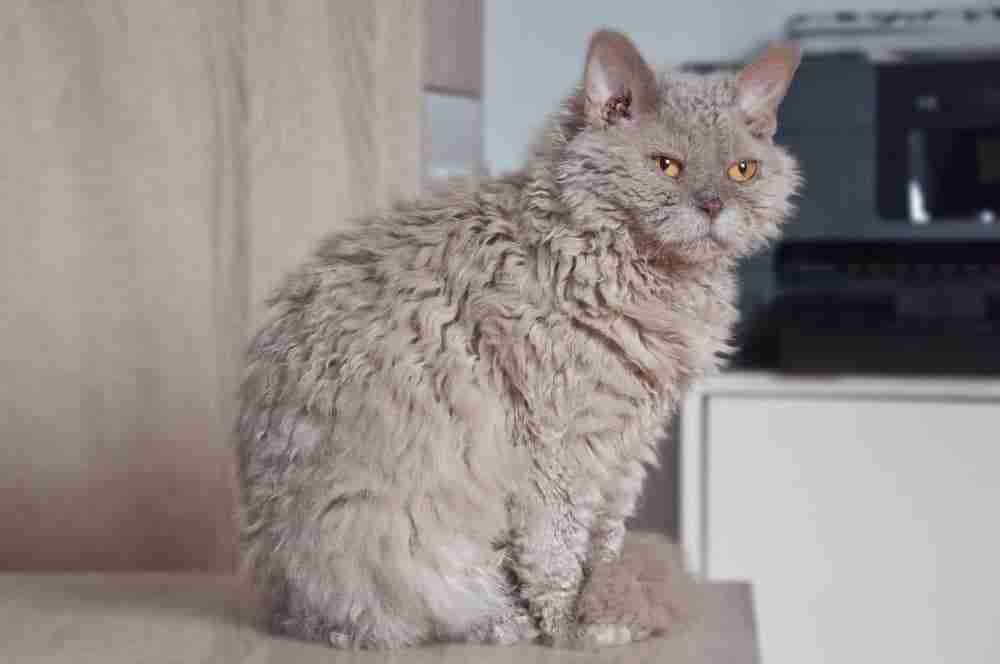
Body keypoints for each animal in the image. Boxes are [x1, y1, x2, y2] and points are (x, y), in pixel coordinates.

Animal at [232, 27, 796, 648]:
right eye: (667, 166)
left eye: (743, 170)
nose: (715, 205)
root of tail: (285, 604)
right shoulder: (563, 448)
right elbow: (557, 557)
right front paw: (572, 630)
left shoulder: (627, 450)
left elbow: (604, 547)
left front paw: (603, 609)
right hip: (393, 536)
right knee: (405, 610)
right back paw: (507, 624)